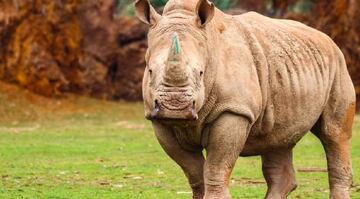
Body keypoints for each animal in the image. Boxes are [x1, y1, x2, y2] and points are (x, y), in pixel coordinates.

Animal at [136, 0, 358, 198]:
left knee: (333, 134)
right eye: (150, 71)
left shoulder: (234, 110)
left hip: (338, 65)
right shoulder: (158, 120)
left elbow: (216, 167)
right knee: (277, 137)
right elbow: (194, 172)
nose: (175, 107)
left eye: (200, 73)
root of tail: (326, 38)